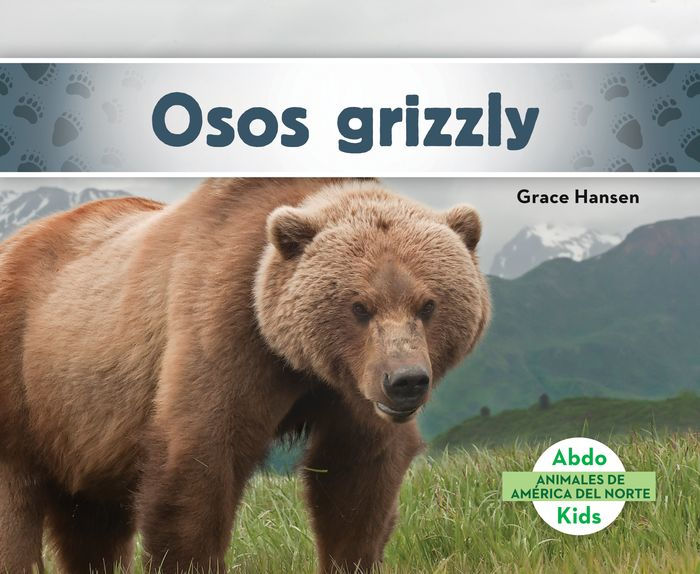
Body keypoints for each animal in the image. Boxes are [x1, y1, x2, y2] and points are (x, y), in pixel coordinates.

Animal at [0, 177, 490, 573]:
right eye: (359, 307)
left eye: (428, 304)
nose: (405, 381)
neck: (300, 362)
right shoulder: (225, 329)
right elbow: (198, 465)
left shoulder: (351, 390)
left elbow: (356, 479)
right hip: (27, 379)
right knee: (17, 507)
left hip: (84, 428)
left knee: (91, 521)